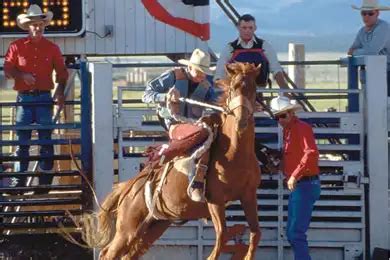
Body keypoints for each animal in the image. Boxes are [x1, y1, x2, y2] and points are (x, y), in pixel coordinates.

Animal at [84, 63, 264, 260]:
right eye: (233, 88)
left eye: (254, 89)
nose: (241, 120)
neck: (234, 154)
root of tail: (128, 187)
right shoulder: (215, 200)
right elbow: (222, 237)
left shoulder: (248, 196)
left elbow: (256, 233)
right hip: (127, 228)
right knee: (108, 253)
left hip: (153, 226)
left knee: (128, 254)